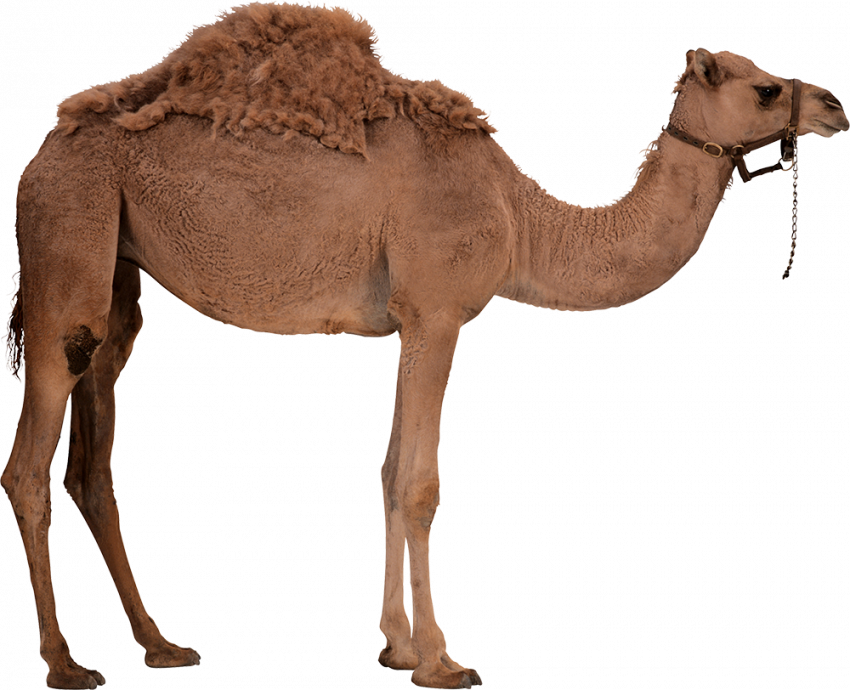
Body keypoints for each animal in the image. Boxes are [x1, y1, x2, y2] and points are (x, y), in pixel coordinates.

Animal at [3, 2, 848, 688]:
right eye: (763, 88)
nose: (834, 105)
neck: (521, 216)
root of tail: (40, 156)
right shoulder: (437, 309)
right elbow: (418, 484)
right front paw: (442, 660)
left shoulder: (410, 320)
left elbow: (387, 474)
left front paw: (397, 648)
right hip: (69, 231)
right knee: (31, 458)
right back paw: (66, 665)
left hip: (117, 267)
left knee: (92, 454)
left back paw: (160, 646)